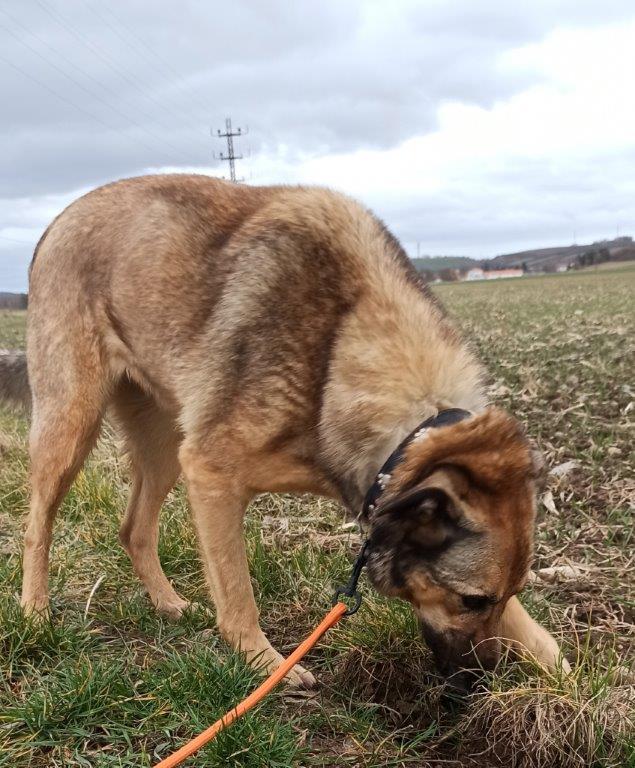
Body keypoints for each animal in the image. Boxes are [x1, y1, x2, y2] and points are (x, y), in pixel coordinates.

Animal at [0, 176, 568, 688]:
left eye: (504, 595)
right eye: (471, 600)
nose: (482, 677)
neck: (340, 353)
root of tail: (58, 220)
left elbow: (533, 628)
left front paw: (562, 674)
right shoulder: (211, 476)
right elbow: (237, 593)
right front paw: (265, 665)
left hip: (163, 443)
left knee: (134, 528)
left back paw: (167, 603)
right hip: (72, 424)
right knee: (37, 526)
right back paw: (34, 613)